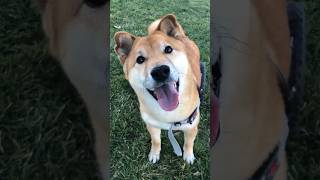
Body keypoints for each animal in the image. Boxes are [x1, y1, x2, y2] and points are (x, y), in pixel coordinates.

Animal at [114, 14, 201, 165]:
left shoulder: (191, 126)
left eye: (168, 49)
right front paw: (154, 154)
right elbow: (156, 141)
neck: (169, 115)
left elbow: (188, 143)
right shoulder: (152, 124)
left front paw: (188, 156)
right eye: (140, 59)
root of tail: (182, 36)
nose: (160, 71)